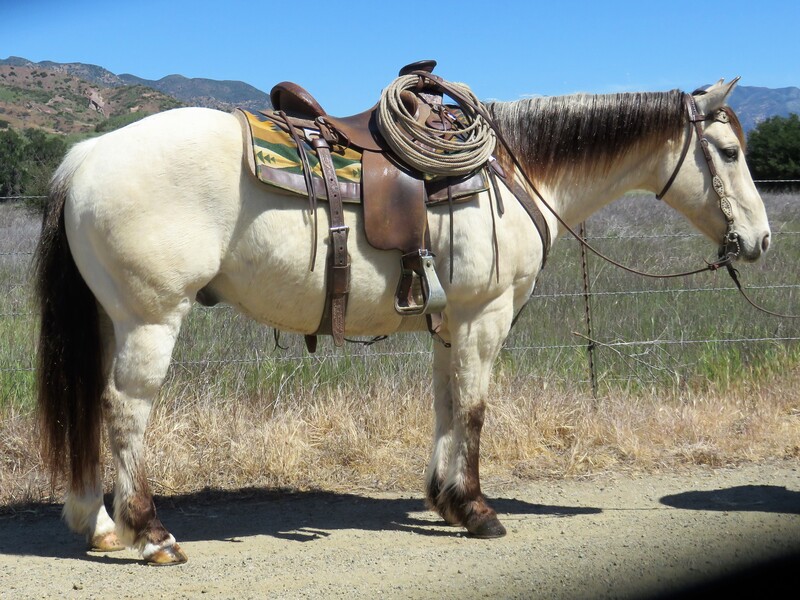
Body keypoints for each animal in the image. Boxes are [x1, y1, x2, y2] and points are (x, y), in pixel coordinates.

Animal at [36, 72, 768, 564]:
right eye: (729, 153)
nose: (759, 240)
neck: (514, 174)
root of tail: (87, 155)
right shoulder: (483, 318)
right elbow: (473, 409)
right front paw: (478, 510)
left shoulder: (454, 324)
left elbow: (446, 405)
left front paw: (445, 500)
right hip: (150, 318)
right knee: (125, 410)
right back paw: (151, 533)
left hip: (109, 319)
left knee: (91, 405)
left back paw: (100, 525)